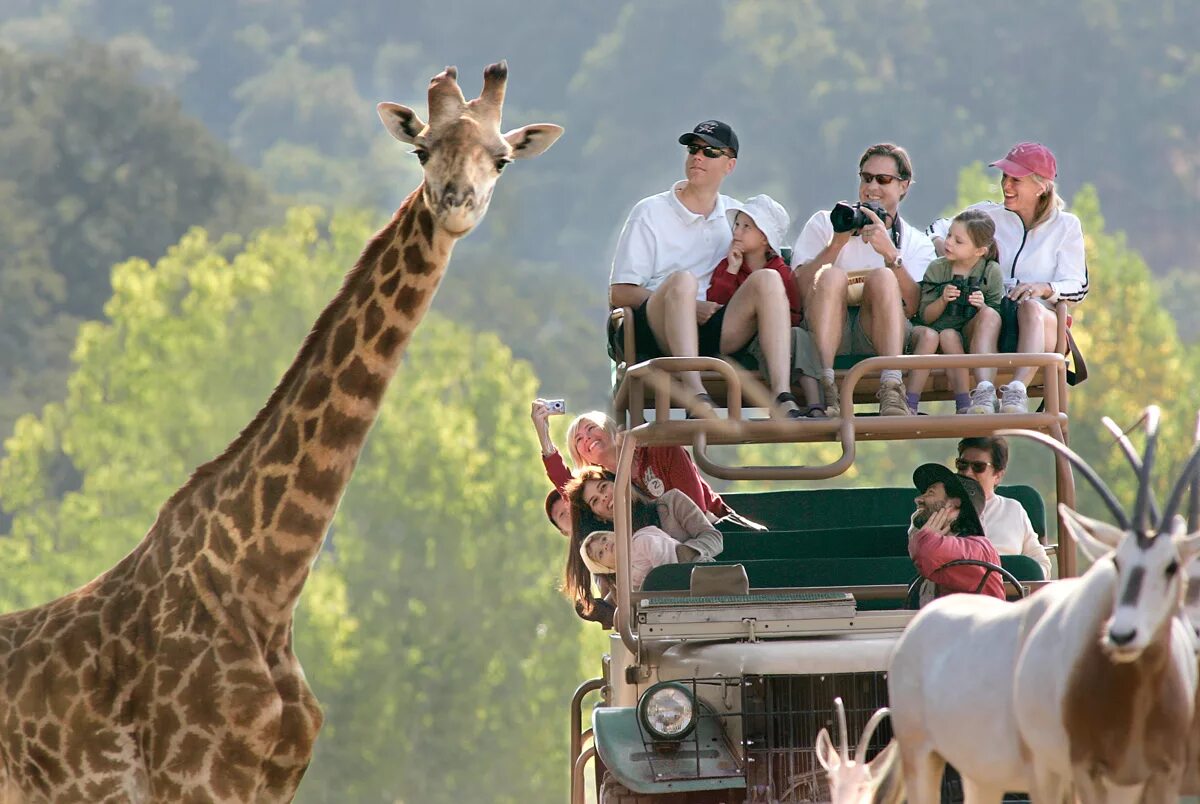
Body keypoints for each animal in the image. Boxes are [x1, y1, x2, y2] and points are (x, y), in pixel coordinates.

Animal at [0, 64, 561, 804]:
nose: (455, 201)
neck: (264, 589)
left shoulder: (271, 783)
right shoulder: (195, 779)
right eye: (422, 150)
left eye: (500, 158)